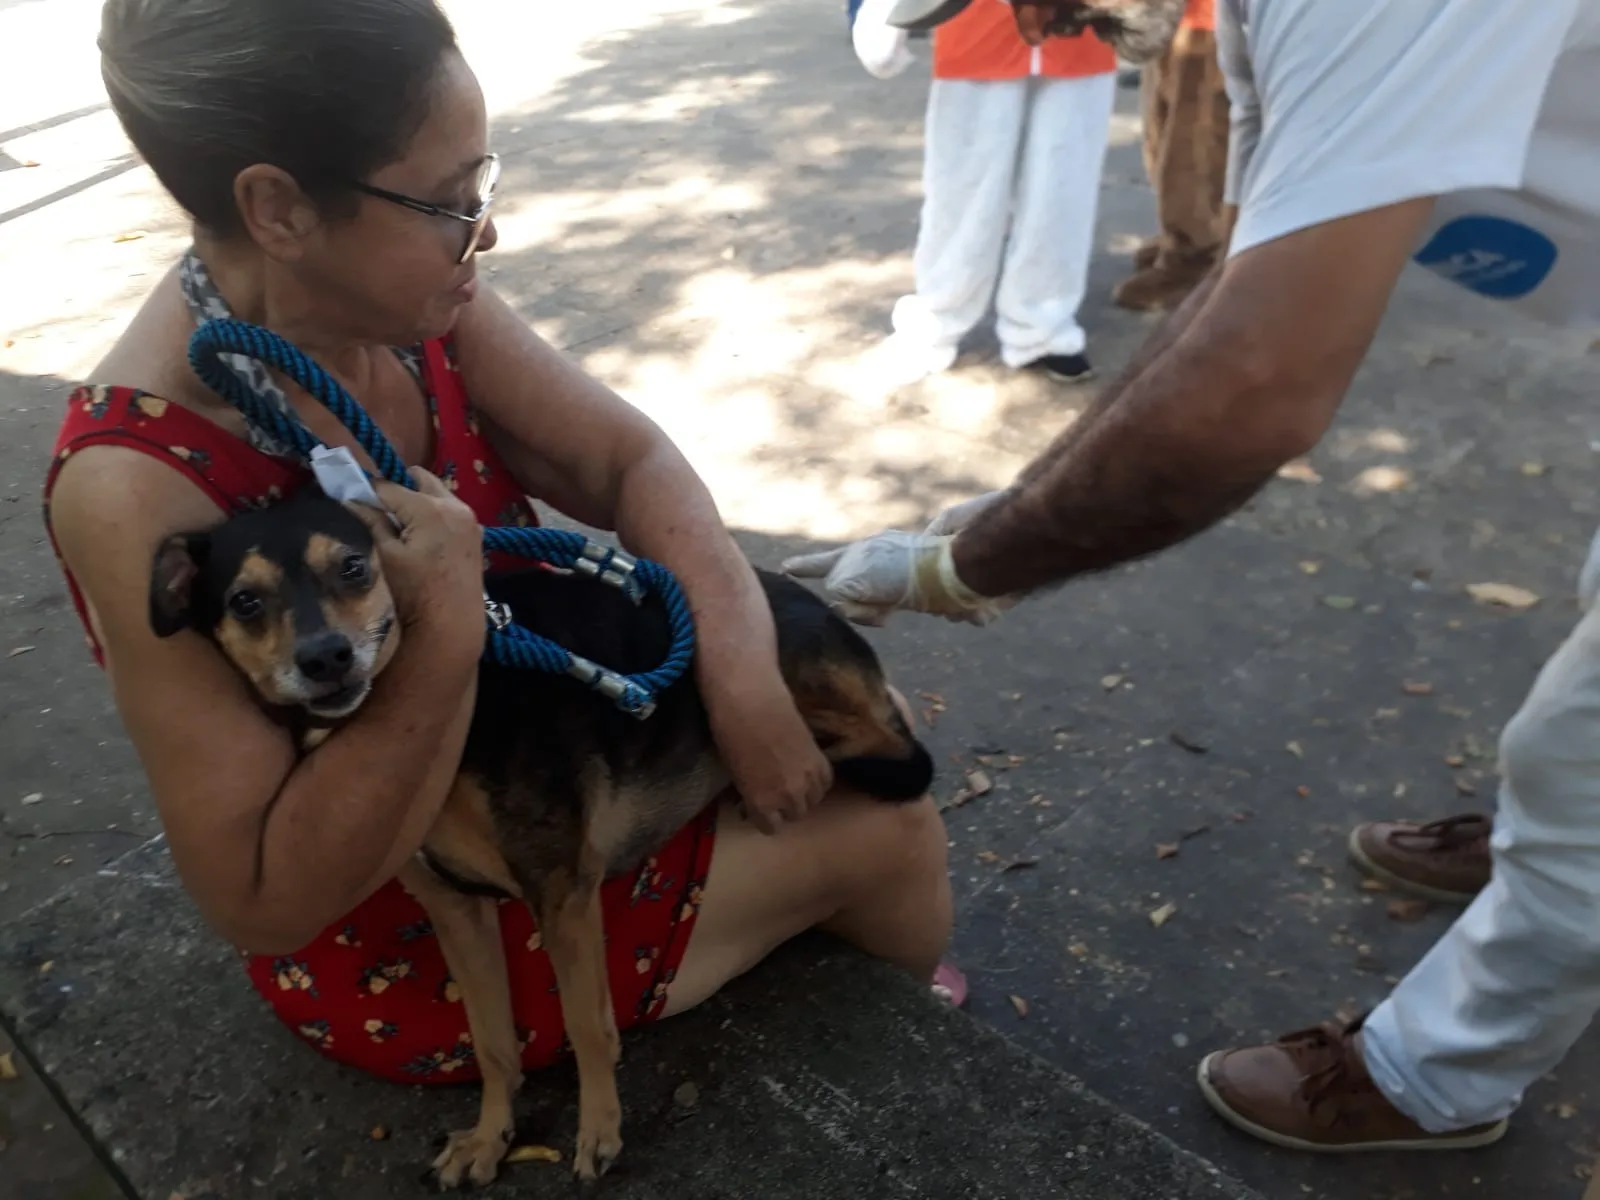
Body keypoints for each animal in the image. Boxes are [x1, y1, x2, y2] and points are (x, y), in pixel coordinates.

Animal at [150, 492, 934, 1190]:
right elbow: (494, 1041)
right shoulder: (455, 908)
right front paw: (490, 1139)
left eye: (352, 566)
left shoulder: (561, 893)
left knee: (897, 749)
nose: (326, 659)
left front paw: (599, 1131)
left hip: (790, 671)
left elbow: (588, 1026)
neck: (451, 711)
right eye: (245, 602)